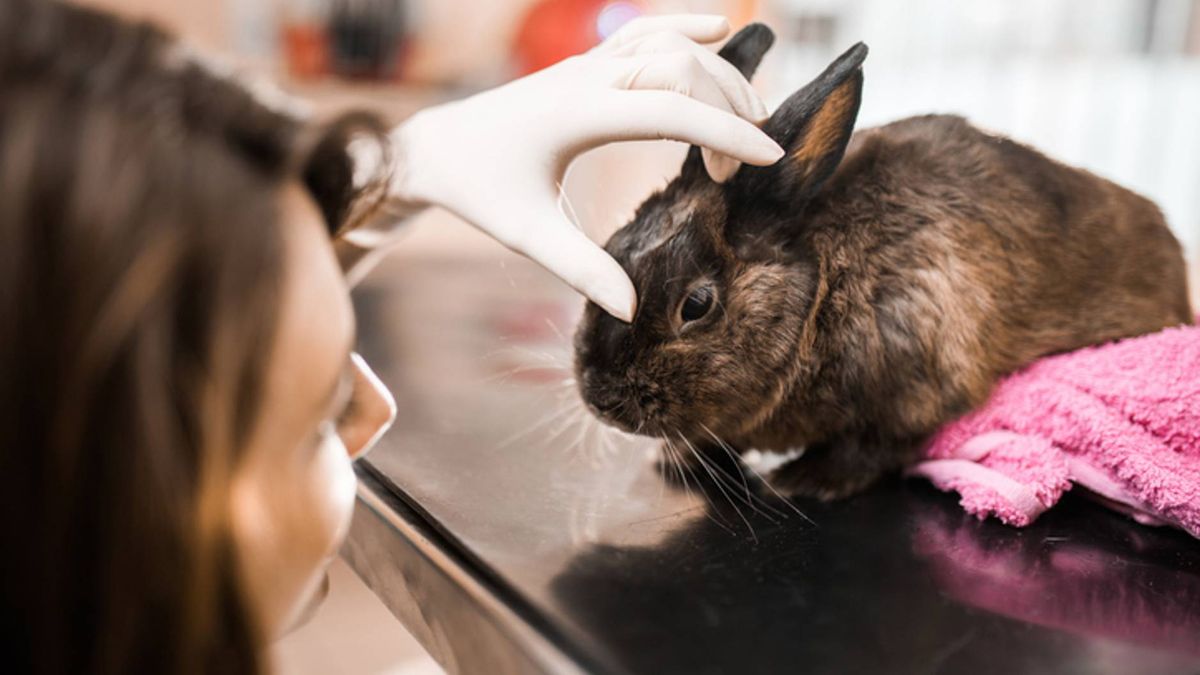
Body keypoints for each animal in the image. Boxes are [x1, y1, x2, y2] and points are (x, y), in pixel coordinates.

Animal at [572, 24, 1194, 501]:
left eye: (696, 305)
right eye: (614, 245)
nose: (600, 397)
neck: (823, 281)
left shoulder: (918, 385)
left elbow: (874, 447)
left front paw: (804, 480)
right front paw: (680, 460)